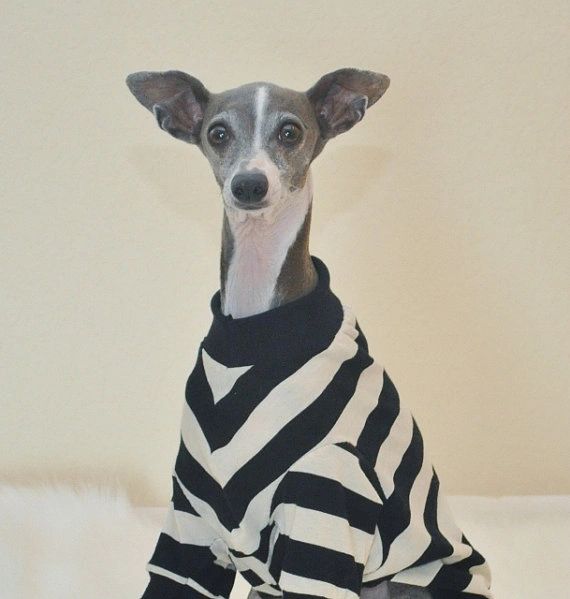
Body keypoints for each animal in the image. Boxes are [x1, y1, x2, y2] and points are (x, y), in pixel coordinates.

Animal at [126, 69, 490, 599]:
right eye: (218, 133)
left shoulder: (326, 501)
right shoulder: (191, 512)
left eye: (290, 132)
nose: (249, 184)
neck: (255, 323)